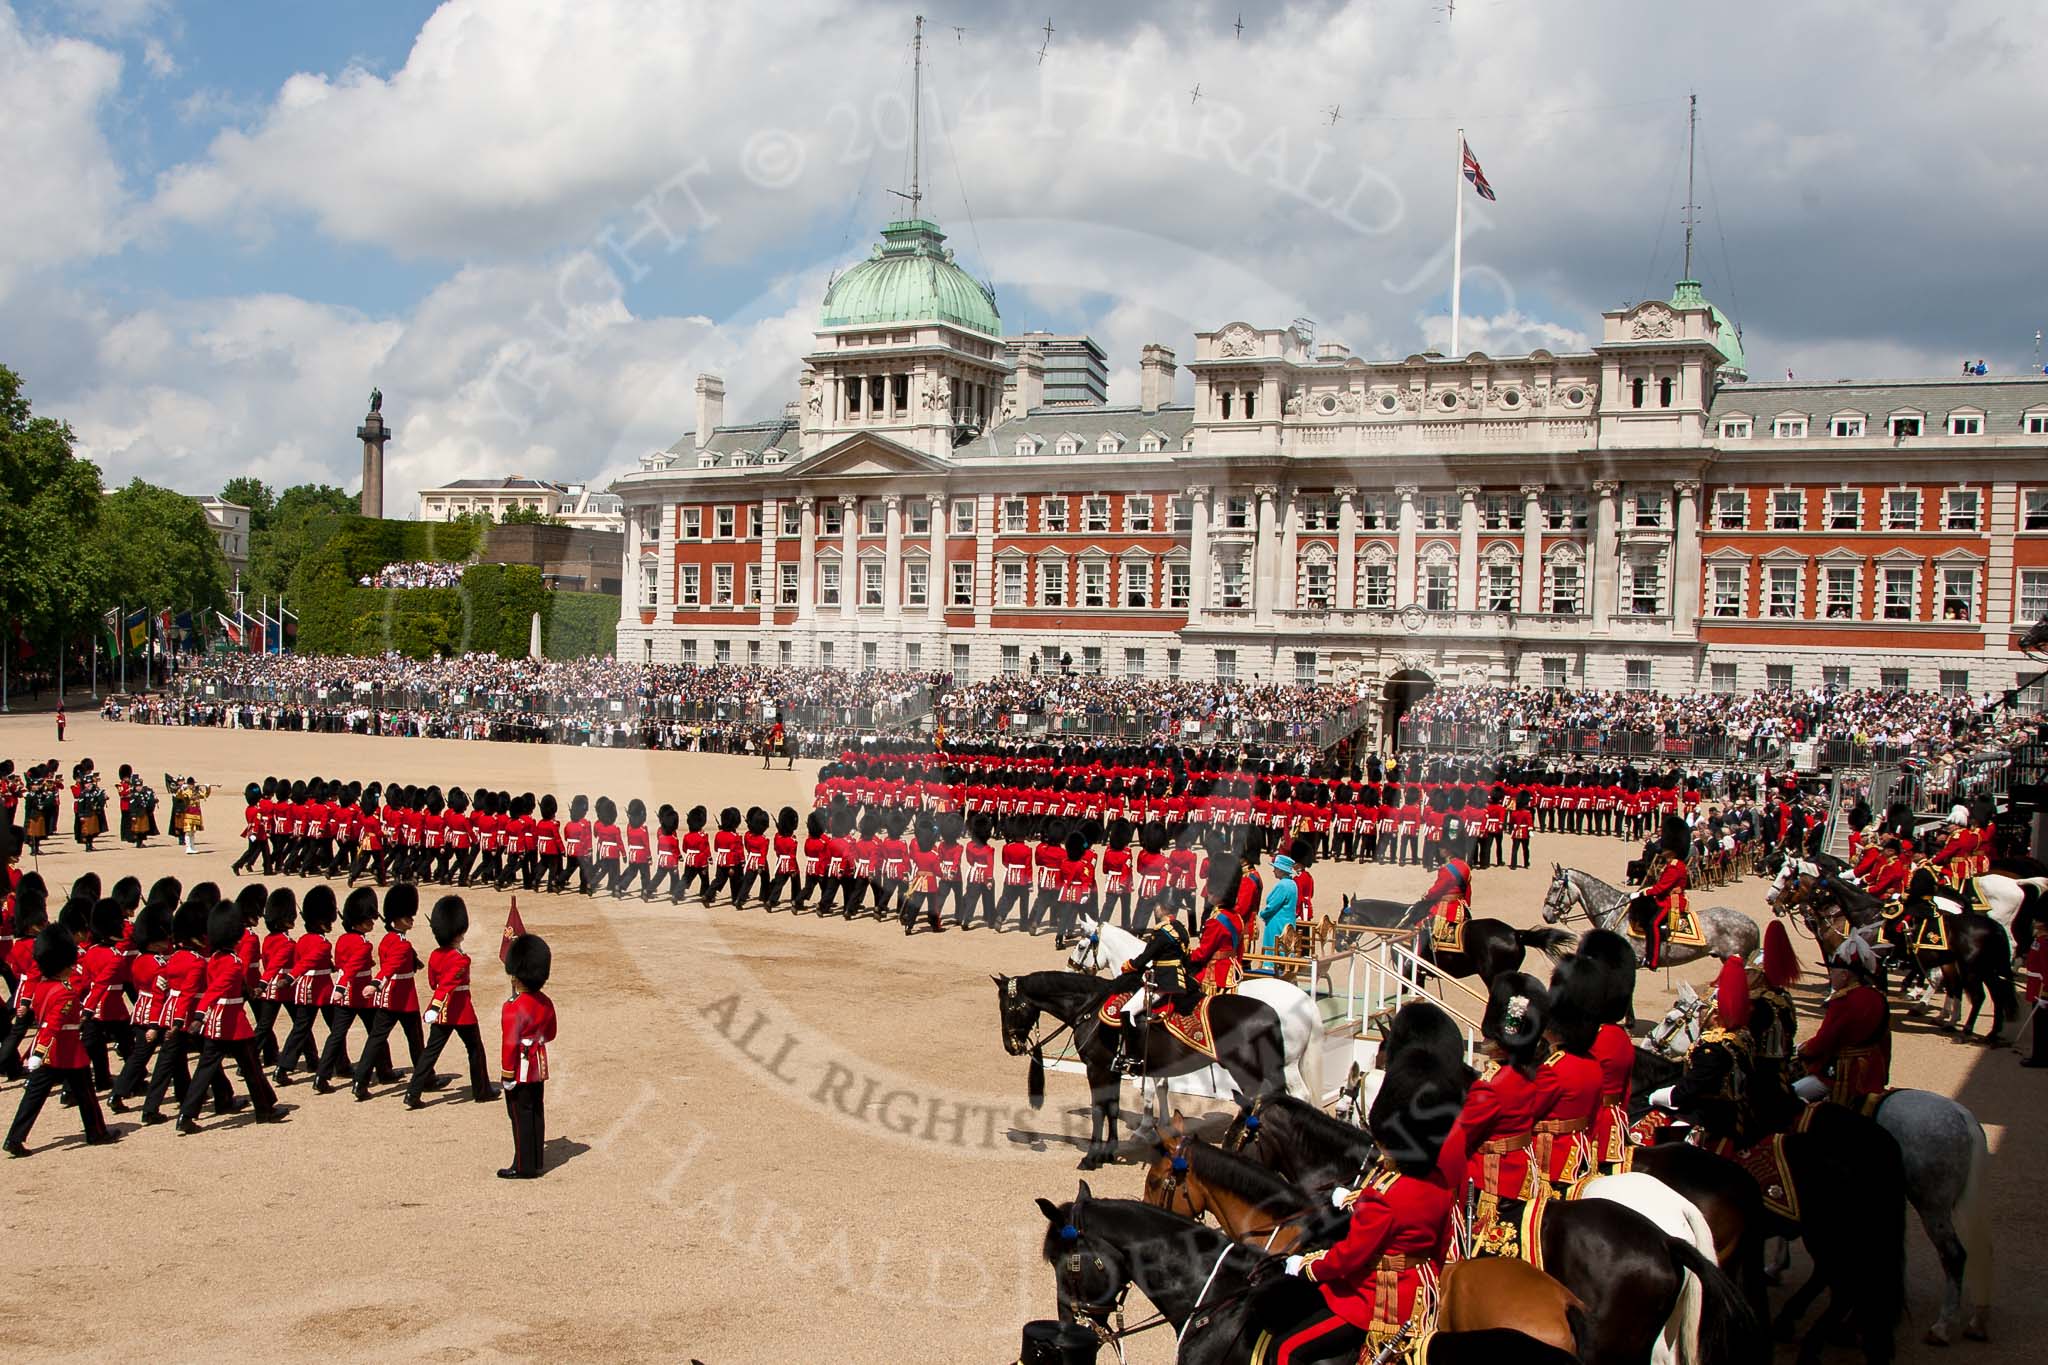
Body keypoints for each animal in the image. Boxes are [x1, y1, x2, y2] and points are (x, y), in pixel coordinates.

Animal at [991, 970, 1277, 1178]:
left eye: (1007, 1008)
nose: (1009, 1046)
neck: (1088, 1009)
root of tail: (1269, 1012)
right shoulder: (1112, 1072)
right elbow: (1113, 1108)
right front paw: (1108, 1152)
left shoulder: (1096, 1069)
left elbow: (1098, 1110)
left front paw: (1091, 1157)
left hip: (1246, 1071)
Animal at [1056, 925, 1327, 1113]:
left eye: (1081, 946)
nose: (1068, 968)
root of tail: (1307, 1002)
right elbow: (1161, 1087)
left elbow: (1150, 1090)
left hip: (1286, 1063)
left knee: (1298, 1095)